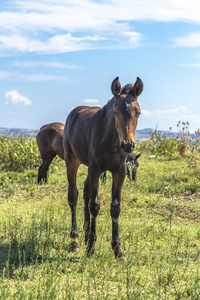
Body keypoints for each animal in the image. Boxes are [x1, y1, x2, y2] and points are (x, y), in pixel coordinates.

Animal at [63, 77, 143, 258]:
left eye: (138, 112)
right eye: (115, 112)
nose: (127, 145)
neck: (112, 141)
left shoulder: (119, 171)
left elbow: (115, 206)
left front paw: (118, 249)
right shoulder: (95, 169)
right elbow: (95, 205)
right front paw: (91, 248)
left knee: (85, 191)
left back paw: (86, 233)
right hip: (72, 161)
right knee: (74, 195)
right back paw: (75, 239)